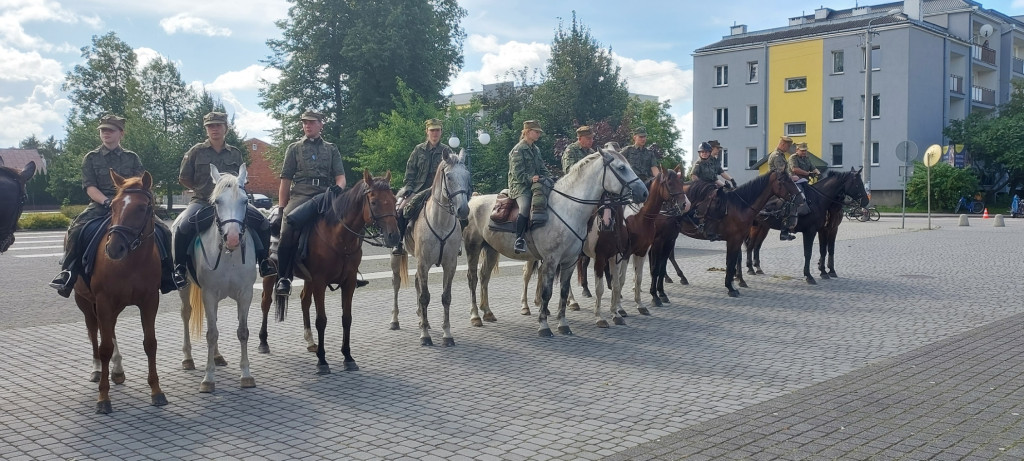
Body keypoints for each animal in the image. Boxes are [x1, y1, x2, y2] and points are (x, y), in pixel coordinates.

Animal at [74, 170, 166, 413]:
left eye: (142, 208)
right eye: (113, 206)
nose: (114, 248)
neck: (132, 262)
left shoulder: (150, 301)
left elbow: (150, 343)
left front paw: (156, 391)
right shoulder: (103, 301)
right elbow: (104, 346)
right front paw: (103, 398)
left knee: (110, 330)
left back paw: (117, 370)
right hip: (85, 302)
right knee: (94, 332)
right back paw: (98, 369)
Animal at [175, 163, 258, 391]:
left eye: (245, 201)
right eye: (218, 201)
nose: (232, 238)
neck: (229, 255)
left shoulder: (245, 294)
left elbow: (243, 331)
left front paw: (246, 374)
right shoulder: (209, 294)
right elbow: (211, 334)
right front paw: (208, 378)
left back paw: (218, 356)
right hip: (185, 286)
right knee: (186, 314)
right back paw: (188, 358)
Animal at [256, 169, 399, 374]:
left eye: (394, 199)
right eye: (374, 202)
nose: (394, 236)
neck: (340, 238)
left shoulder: (348, 282)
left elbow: (347, 318)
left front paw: (348, 357)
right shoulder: (320, 282)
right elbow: (321, 320)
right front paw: (322, 361)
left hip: (307, 279)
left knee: (304, 301)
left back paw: (310, 342)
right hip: (272, 275)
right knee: (266, 302)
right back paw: (263, 342)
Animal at [389, 149, 473, 344]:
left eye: (467, 175)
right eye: (448, 176)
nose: (463, 210)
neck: (440, 222)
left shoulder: (450, 265)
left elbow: (446, 297)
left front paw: (447, 334)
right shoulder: (424, 263)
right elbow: (425, 296)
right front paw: (425, 336)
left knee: (416, 282)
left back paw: (422, 319)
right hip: (397, 257)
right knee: (396, 283)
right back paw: (395, 320)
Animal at [464, 149, 647, 336]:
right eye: (622, 167)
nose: (644, 192)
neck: (567, 209)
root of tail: (473, 200)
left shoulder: (571, 261)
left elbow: (564, 292)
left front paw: (563, 324)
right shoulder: (552, 260)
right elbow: (547, 292)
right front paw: (544, 325)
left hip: (491, 250)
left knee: (484, 277)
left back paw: (487, 312)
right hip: (473, 247)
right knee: (473, 278)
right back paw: (476, 316)